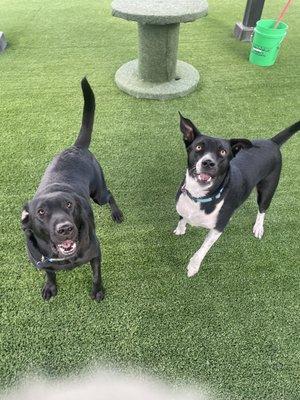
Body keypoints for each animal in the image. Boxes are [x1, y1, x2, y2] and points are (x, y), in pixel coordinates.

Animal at [21, 77, 123, 300]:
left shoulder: (95, 252)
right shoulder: (41, 261)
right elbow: (49, 273)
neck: (63, 257)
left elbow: (96, 275)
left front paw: (97, 291)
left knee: (110, 194)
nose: (65, 228)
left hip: (99, 194)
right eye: (41, 212)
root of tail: (77, 147)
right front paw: (50, 286)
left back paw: (117, 213)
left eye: (69, 205)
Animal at [175, 115, 298, 278]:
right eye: (198, 147)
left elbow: (203, 249)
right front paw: (180, 228)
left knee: (262, 209)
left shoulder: (218, 228)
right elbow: (182, 218)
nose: (208, 163)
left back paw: (258, 227)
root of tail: (271, 142)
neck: (199, 196)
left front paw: (193, 266)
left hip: (267, 189)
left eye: (223, 152)